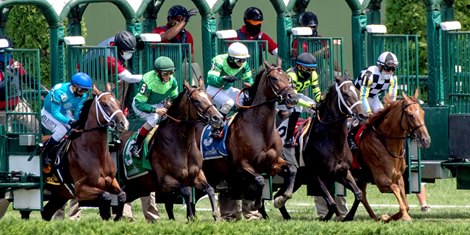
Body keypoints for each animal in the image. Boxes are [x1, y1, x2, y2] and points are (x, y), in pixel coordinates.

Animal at [40, 84, 129, 220]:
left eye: (118, 102)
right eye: (105, 104)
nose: (123, 123)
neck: (95, 153)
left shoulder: (111, 181)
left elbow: (122, 195)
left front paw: (116, 218)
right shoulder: (80, 189)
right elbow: (105, 196)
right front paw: (107, 216)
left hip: (60, 194)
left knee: (46, 213)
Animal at [114, 80, 223, 221]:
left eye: (210, 98)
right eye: (196, 100)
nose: (218, 118)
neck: (184, 145)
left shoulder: (197, 175)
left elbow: (209, 189)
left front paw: (216, 216)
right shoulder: (165, 181)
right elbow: (185, 192)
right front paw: (191, 217)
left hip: (136, 186)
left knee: (122, 201)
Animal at [344, 90, 432, 222]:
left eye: (422, 112)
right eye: (410, 115)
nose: (426, 140)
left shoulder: (399, 177)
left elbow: (406, 203)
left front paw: (387, 217)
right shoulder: (381, 180)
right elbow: (395, 189)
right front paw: (401, 216)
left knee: (361, 194)